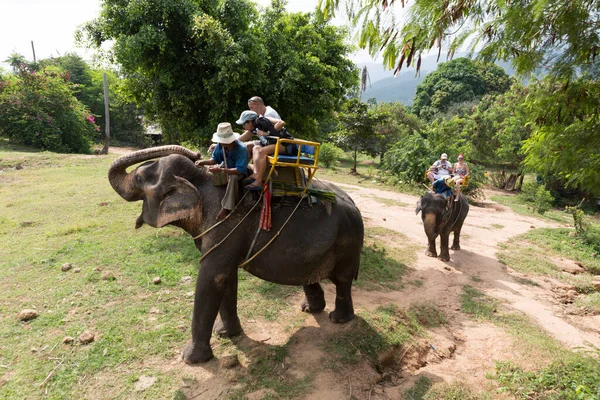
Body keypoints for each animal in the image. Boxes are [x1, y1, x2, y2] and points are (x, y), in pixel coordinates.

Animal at [106, 145, 366, 364]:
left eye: (139, 178)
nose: (198, 154)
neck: (200, 179)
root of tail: (354, 203)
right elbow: (226, 277)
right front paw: (227, 334)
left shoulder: (225, 224)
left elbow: (212, 277)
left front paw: (190, 359)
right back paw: (310, 309)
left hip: (348, 243)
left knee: (342, 280)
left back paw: (338, 319)